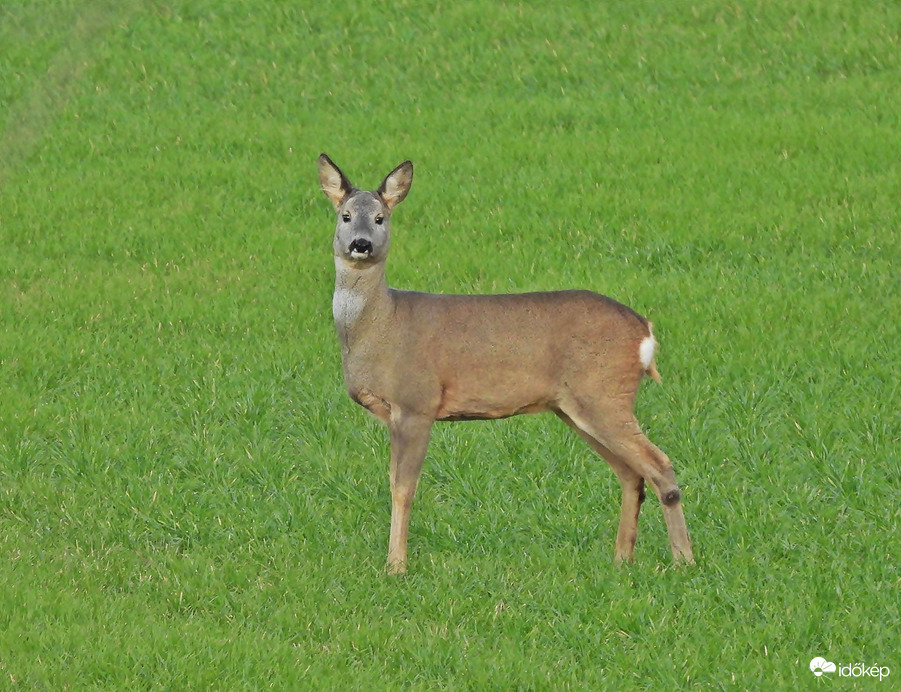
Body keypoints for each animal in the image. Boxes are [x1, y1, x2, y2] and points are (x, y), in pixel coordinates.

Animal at [318, 154, 696, 576]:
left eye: (380, 217)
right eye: (346, 215)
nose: (361, 244)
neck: (381, 327)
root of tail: (644, 331)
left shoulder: (417, 402)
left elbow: (403, 488)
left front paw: (396, 566)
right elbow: (394, 484)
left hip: (603, 392)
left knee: (659, 464)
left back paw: (684, 560)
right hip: (578, 406)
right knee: (632, 473)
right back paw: (621, 559)